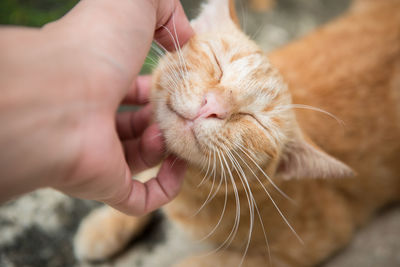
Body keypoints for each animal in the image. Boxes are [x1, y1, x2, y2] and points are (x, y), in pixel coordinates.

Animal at [72, 0, 400, 266]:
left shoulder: (310, 243)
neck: (189, 192)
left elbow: (202, 264)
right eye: (219, 65)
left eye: (254, 120)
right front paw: (104, 225)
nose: (212, 106)